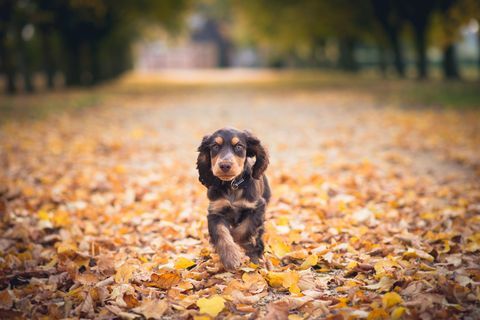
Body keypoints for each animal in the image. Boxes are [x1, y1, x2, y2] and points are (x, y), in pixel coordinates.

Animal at [196, 127, 270, 270]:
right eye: (215, 146)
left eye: (239, 147)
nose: (225, 165)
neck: (232, 185)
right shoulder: (215, 211)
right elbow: (221, 233)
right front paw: (230, 257)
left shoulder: (257, 207)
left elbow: (242, 231)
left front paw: (243, 244)